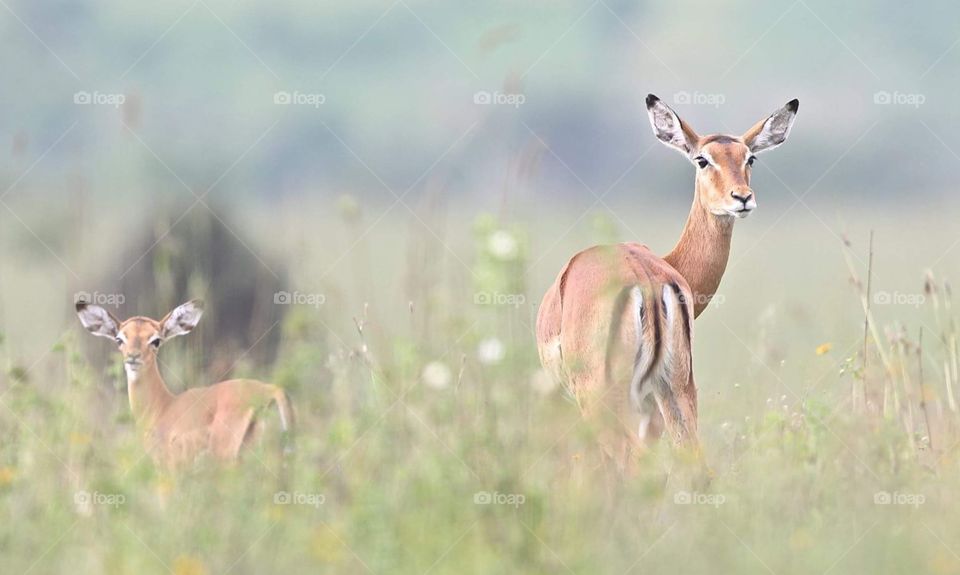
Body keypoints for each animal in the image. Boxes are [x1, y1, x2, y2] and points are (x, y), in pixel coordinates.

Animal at [536, 94, 798, 473]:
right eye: (703, 159)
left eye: (749, 157)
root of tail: (645, 279)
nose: (742, 197)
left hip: (605, 398)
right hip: (676, 389)